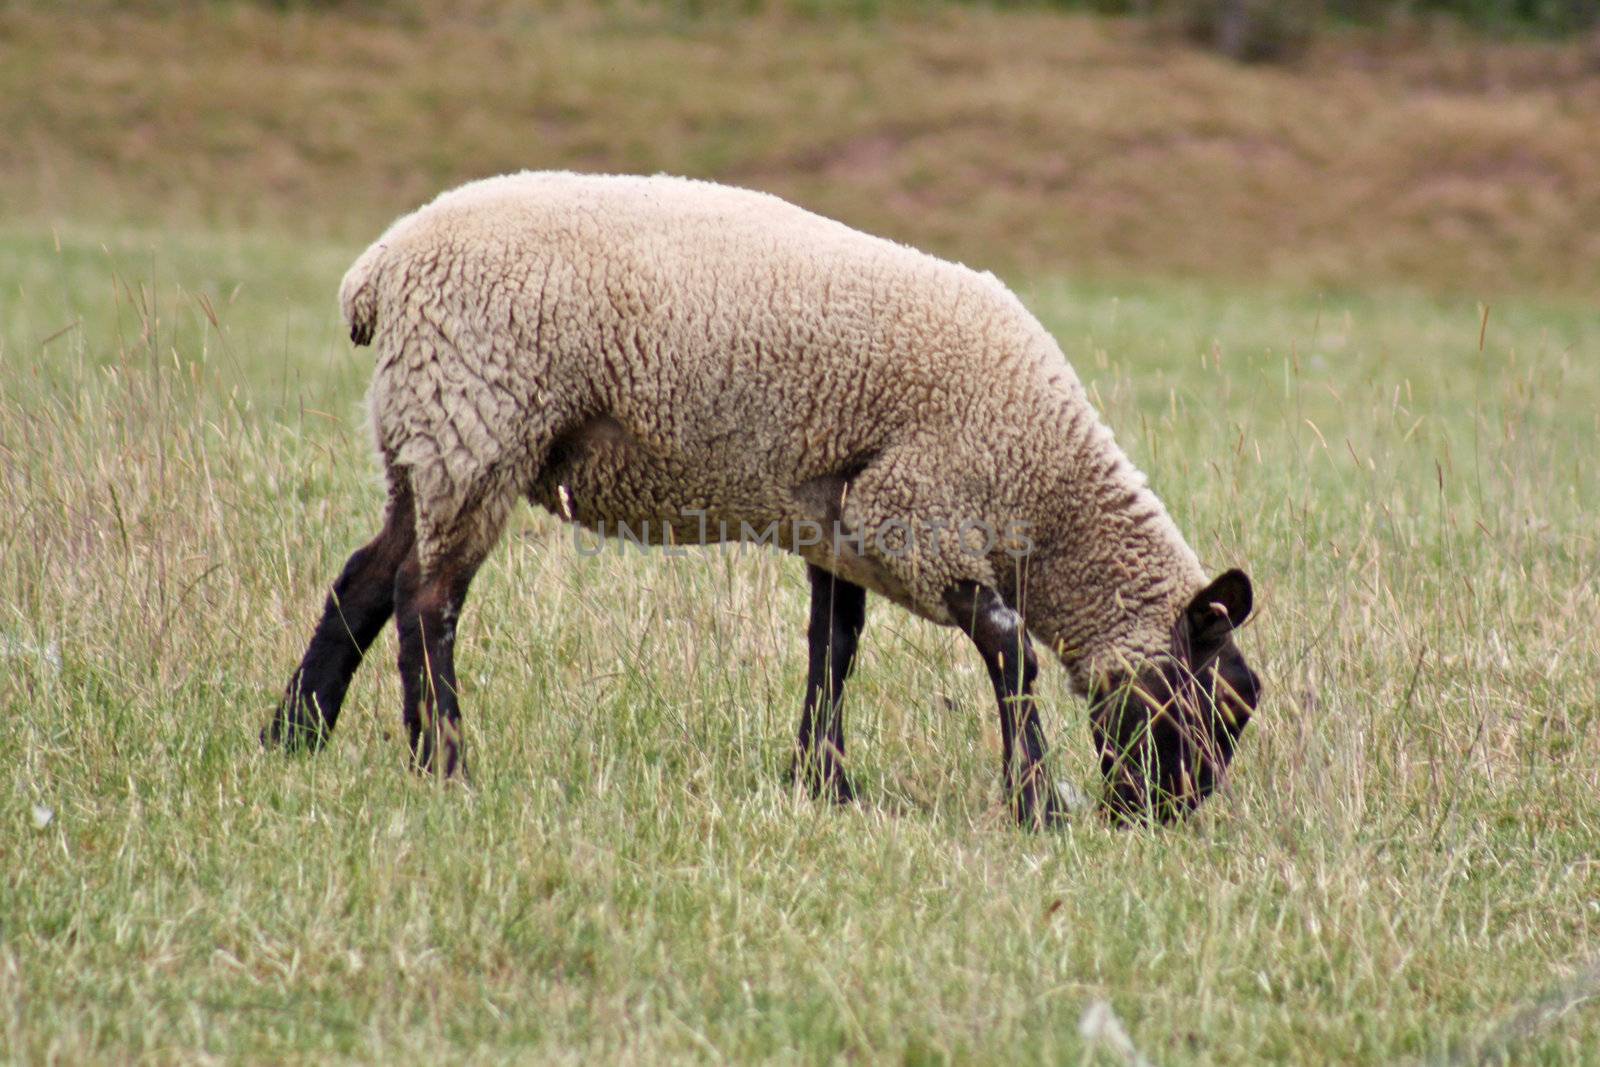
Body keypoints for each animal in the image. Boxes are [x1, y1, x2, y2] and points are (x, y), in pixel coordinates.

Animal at [262, 173, 1260, 825]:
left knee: (366, 579)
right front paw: (1035, 806)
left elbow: (834, 649)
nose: (1162, 820)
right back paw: (446, 762)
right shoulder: (916, 513)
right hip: (479, 418)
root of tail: (377, 273)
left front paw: (825, 785)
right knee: (426, 599)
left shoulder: (844, 525)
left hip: (425, 433)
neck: (1050, 503)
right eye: (1221, 704)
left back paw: (294, 736)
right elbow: (1009, 649)